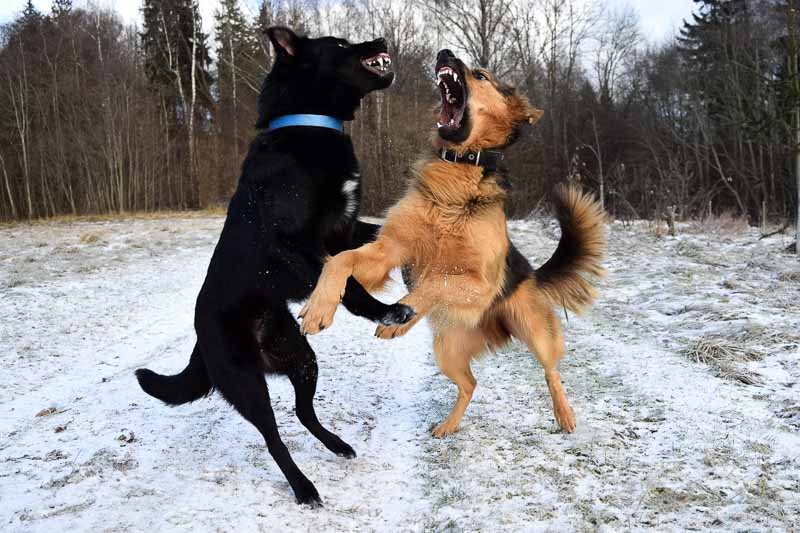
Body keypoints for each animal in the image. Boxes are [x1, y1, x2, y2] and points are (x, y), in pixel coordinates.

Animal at [134, 27, 412, 504]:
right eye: (340, 45)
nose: (380, 38)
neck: (306, 123)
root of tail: (199, 338)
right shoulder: (295, 242)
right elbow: (344, 280)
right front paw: (385, 310)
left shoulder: (345, 229)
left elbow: (374, 246)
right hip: (248, 383)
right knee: (273, 437)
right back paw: (304, 487)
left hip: (301, 359)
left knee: (303, 413)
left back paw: (337, 445)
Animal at [304, 50, 604, 434]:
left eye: (481, 75)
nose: (445, 53)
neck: (456, 177)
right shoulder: (388, 251)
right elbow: (340, 260)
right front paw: (319, 307)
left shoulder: (482, 283)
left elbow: (437, 279)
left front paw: (402, 313)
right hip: (446, 349)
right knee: (470, 384)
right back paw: (446, 423)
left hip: (535, 333)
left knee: (551, 370)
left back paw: (564, 415)